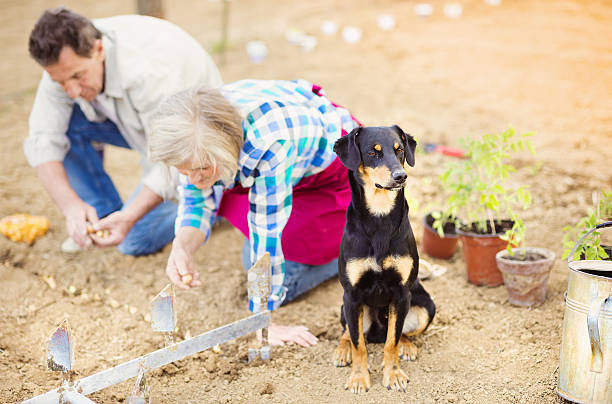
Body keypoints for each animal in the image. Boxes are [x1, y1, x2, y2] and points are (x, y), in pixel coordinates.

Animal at [334, 125, 436, 392]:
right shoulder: (351, 295)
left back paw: (407, 346)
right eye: (373, 152)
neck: (380, 217)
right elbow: (359, 344)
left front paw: (393, 374)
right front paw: (359, 378)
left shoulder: (402, 294)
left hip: (426, 307)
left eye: (399, 150)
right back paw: (342, 350)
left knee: (400, 333)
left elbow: (392, 340)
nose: (401, 176)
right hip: (345, 306)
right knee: (350, 333)